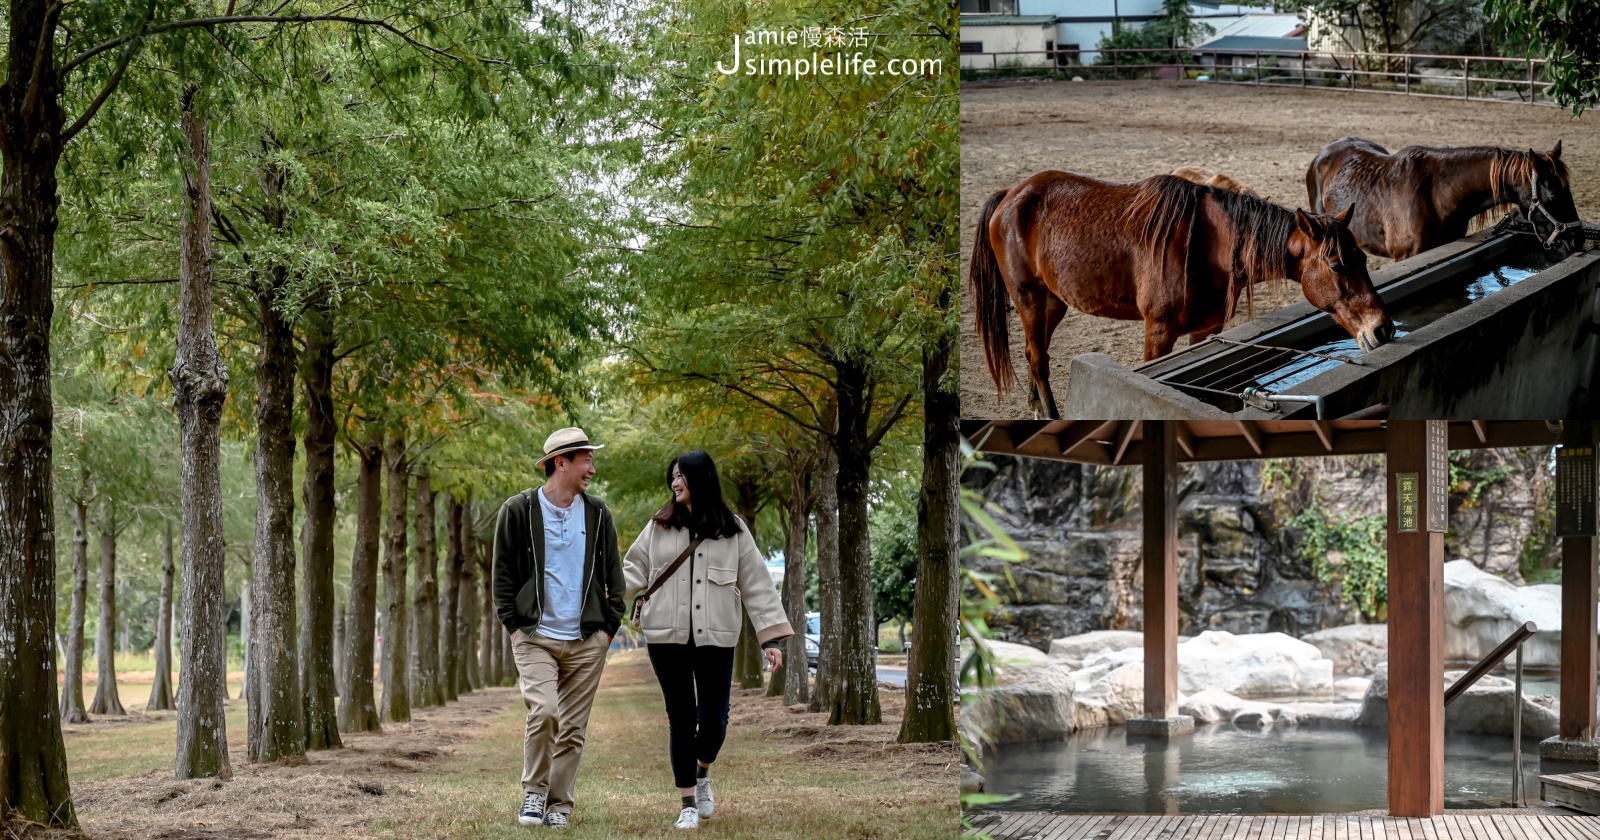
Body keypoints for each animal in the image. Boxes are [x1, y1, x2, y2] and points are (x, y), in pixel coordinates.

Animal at [966, 171, 1395, 419]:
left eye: (1363, 258)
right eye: (1337, 265)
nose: (1384, 330)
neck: (1208, 244)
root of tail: (1011, 195)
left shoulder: (1204, 329)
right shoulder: (1159, 330)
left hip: (1053, 303)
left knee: (1031, 356)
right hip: (1030, 300)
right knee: (1039, 362)